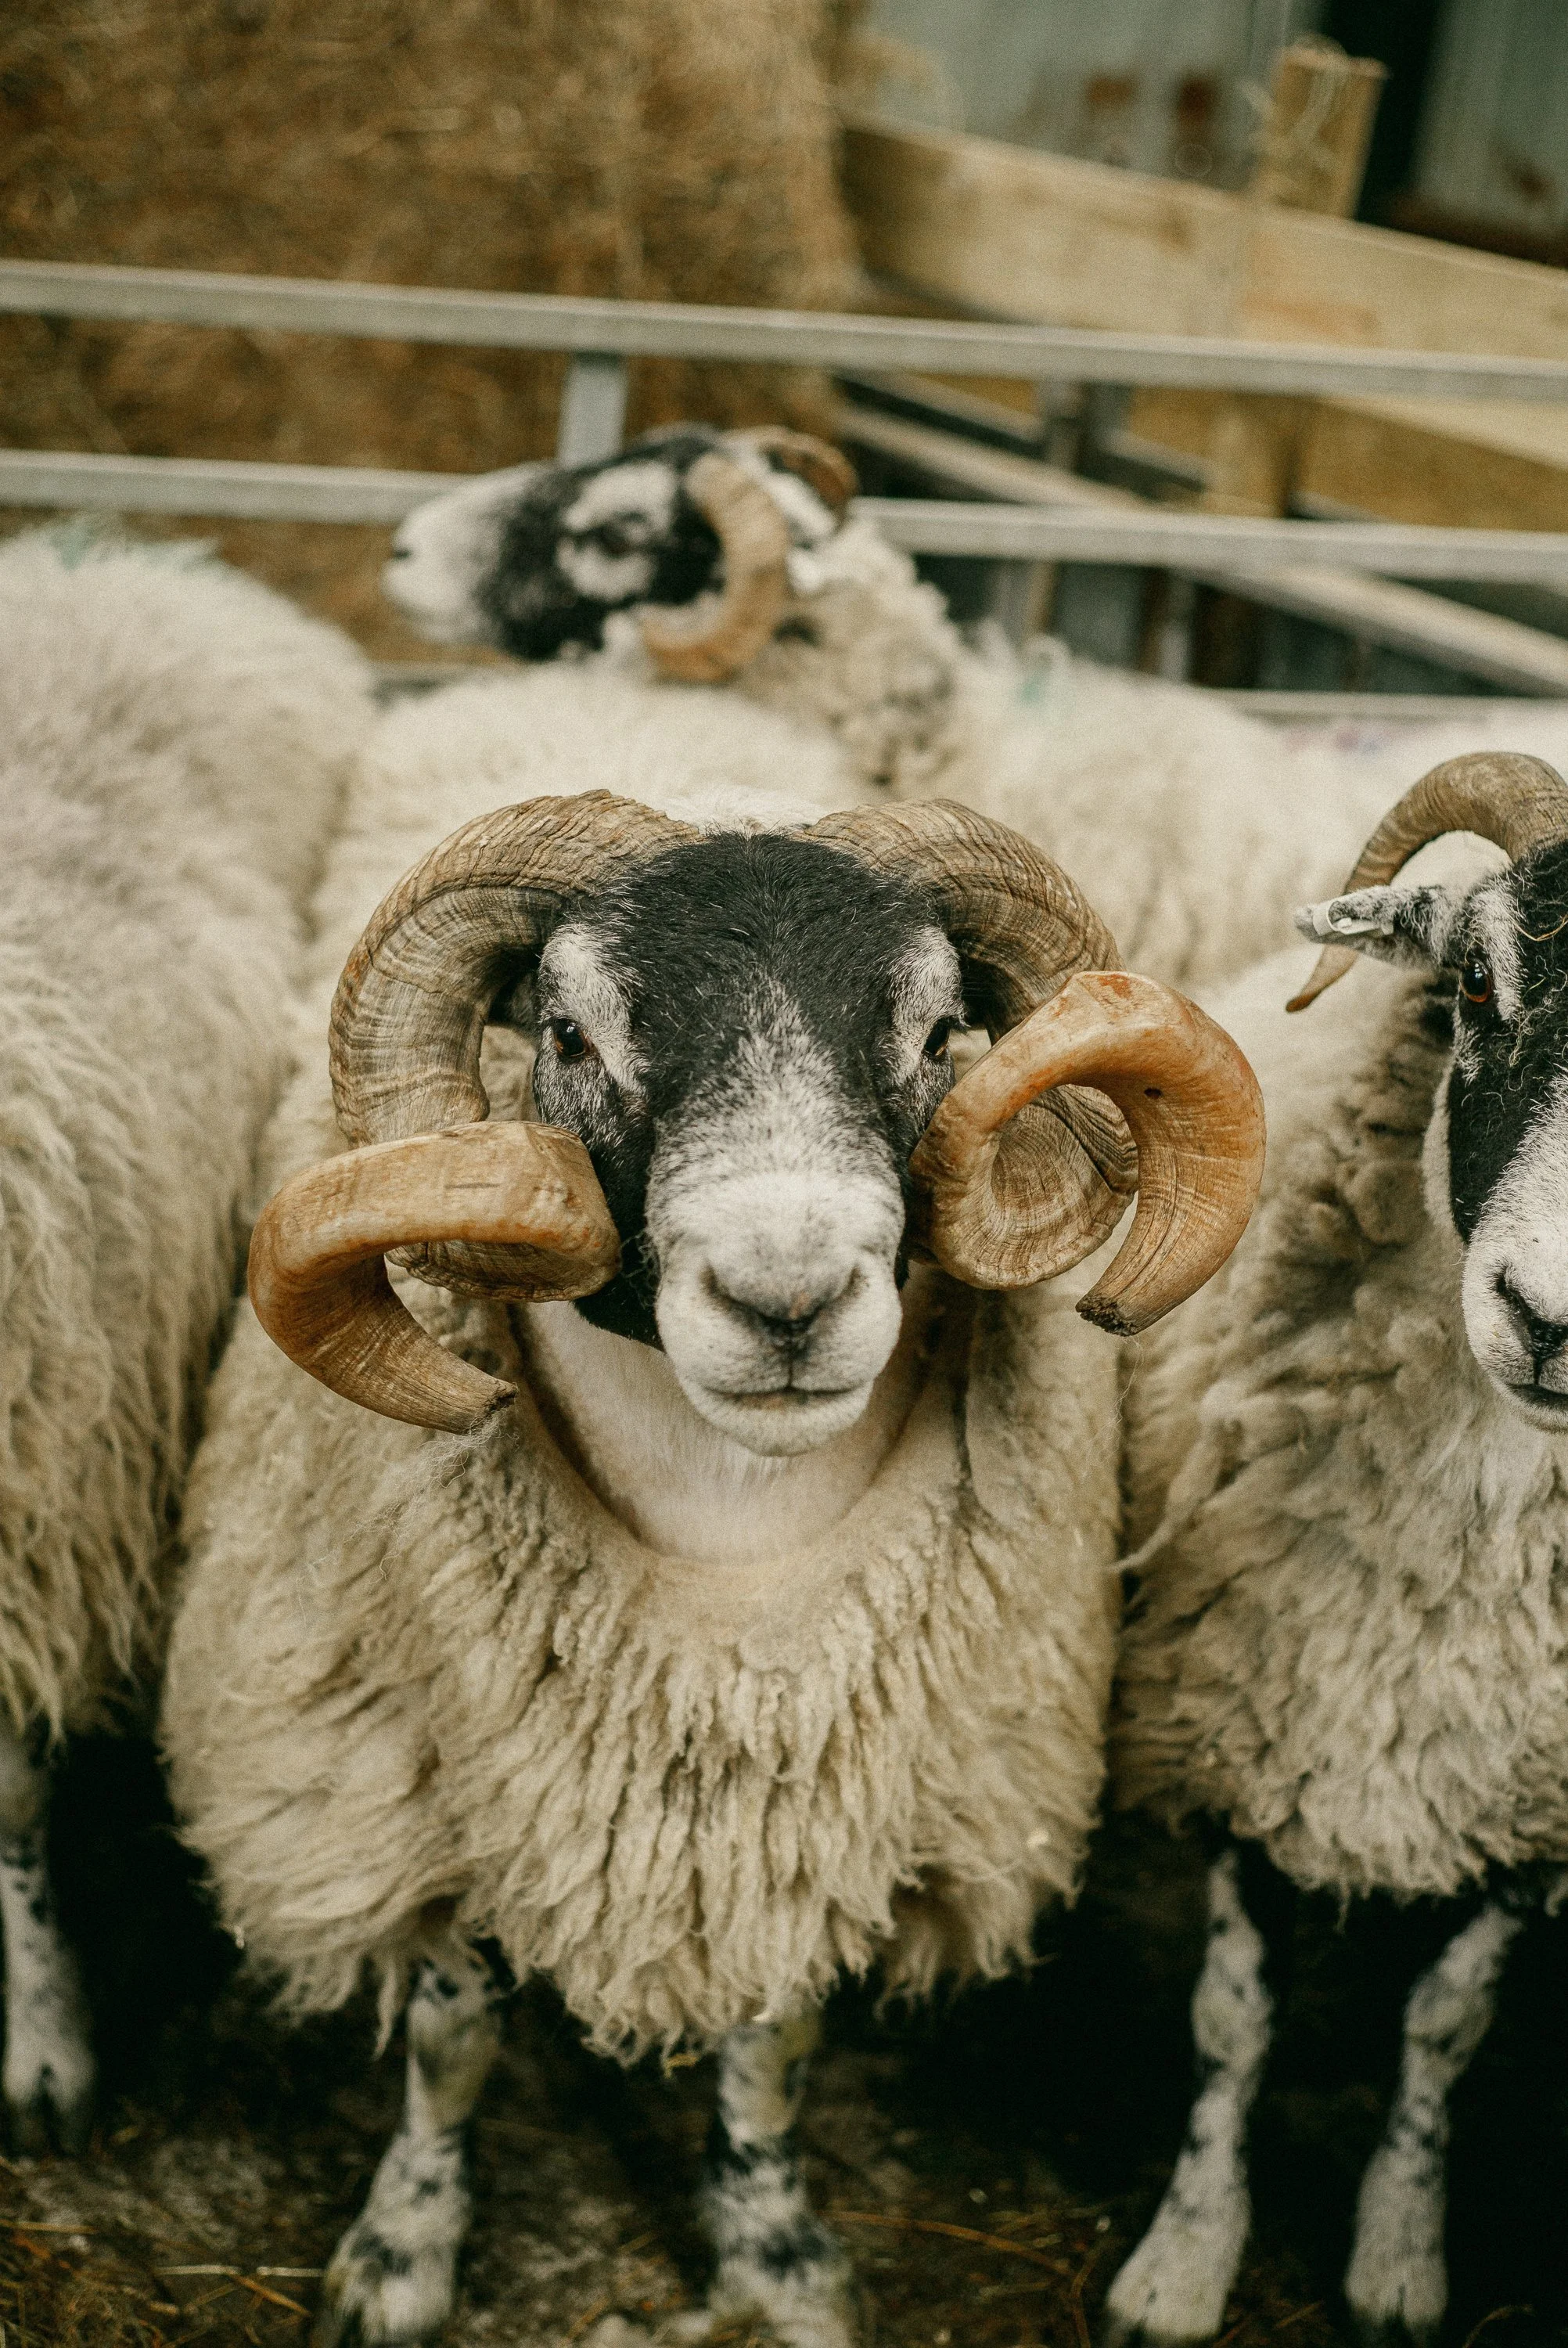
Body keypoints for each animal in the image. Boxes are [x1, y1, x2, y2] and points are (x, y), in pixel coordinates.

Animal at [160, 649, 1265, 2348]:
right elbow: (454, 2033)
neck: (726, 1549)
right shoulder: (436, 1769)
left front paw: (775, 2262)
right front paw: (401, 2258)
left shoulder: (820, 1782)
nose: (787, 1299)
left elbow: (772, 2048)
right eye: (566, 1032)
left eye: (936, 1031)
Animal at [1102, 750, 1568, 2348]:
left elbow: (1448, 2024)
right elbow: (1231, 2020)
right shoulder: (1244, 1705)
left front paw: (1399, 2257)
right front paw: (1181, 2264)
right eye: (1476, 983)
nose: (1548, 1320)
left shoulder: (1524, 1798)